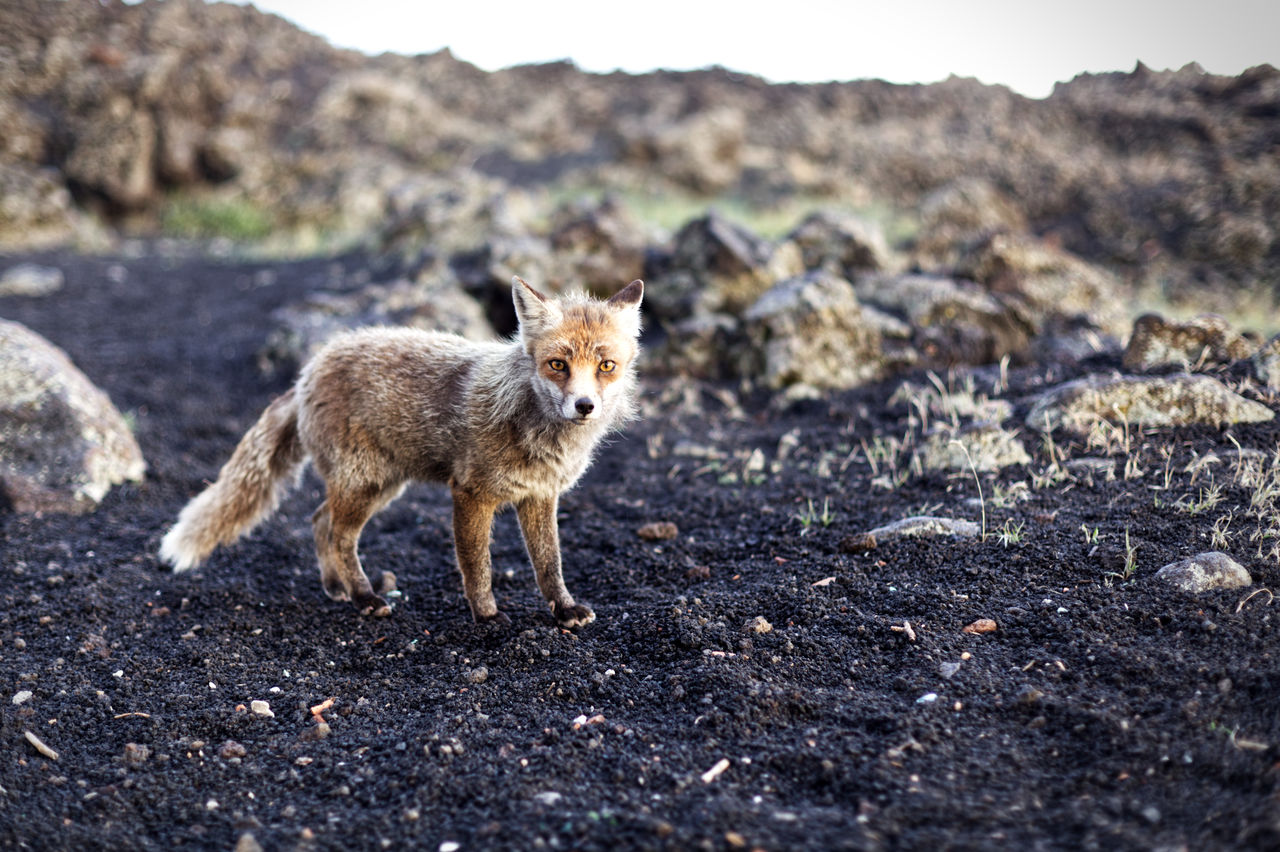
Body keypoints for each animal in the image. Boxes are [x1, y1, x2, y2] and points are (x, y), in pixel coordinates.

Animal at [156, 277, 645, 624]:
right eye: (557, 365)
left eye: (606, 366)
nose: (585, 406)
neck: (536, 432)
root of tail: (307, 371)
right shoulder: (470, 494)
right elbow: (477, 565)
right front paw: (487, 618)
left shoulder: (540, 496)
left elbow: (549, 563)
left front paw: (563, 609)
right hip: (364, 484)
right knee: (339, 535)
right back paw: (364, 596)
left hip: (379, 486)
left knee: (318, 521)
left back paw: (336, 588)